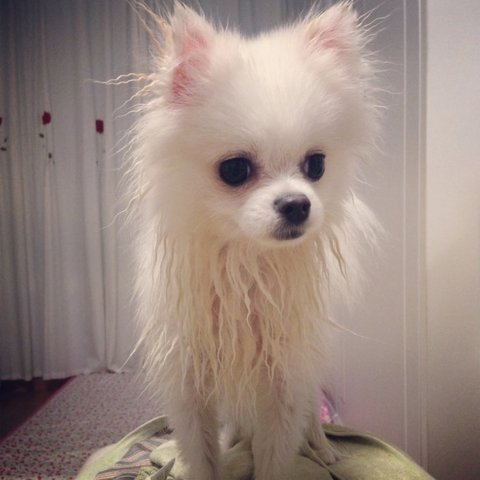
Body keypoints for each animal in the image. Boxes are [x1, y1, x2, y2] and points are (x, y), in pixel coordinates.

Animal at [129, 2, 379, 479]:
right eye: (235, 170)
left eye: (316, 165)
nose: (298, 204)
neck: (246, 264)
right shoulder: (190, 388)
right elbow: (202, 454)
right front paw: (213, 457)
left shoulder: (284, 384)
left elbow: (276, 450)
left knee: (311, 414)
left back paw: (324, 449)